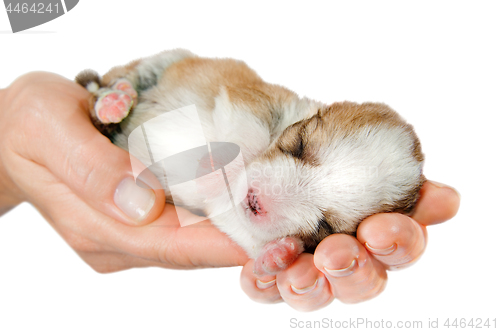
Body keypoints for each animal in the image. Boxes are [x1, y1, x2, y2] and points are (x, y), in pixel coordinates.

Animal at [76, 49, 424, 276]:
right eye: (299, 145)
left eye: (325, 226)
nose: (257, 201)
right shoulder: (254, 100)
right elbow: (248, 132)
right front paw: (217, 167)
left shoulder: (224, 210)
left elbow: (242, 228)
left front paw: (277, 253)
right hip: (166, 60)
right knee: (111, 84)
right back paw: (116, 100)